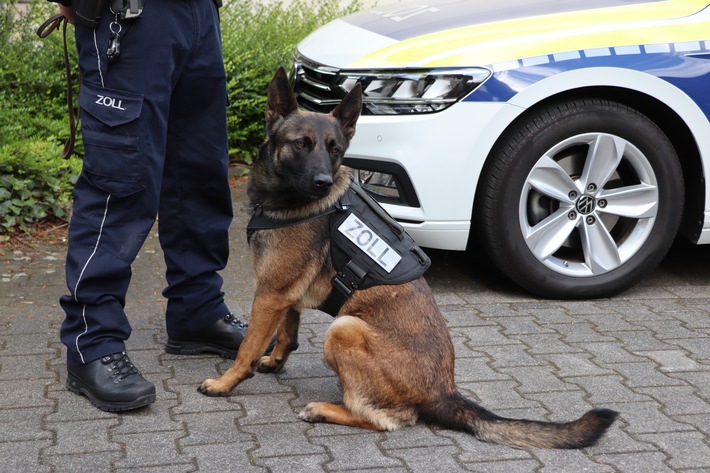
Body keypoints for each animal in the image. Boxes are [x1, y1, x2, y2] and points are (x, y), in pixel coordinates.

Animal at [197, 65, 620, 446]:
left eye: (335, 151)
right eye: (301, 144)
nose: (322, 183)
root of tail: (443, 392)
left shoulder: (269, 294)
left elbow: (248, 346)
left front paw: (226, 382)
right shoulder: (284, 294)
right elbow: (287, 333)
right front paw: (273, 362)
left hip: (344, 328)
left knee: (387, 420)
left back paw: (323, 410)